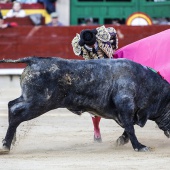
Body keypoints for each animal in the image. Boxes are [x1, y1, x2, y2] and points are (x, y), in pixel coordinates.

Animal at [0, 56, 169, 153]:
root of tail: (34, 60)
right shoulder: (125, 106)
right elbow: (130, 128)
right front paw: (140, 147)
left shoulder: (127, 112)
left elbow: (128, 128)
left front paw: (120, 141)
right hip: (38, 103)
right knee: (16, 113)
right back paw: (6, 146)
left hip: (29, 99)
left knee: (11, 105)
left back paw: (9, 142)